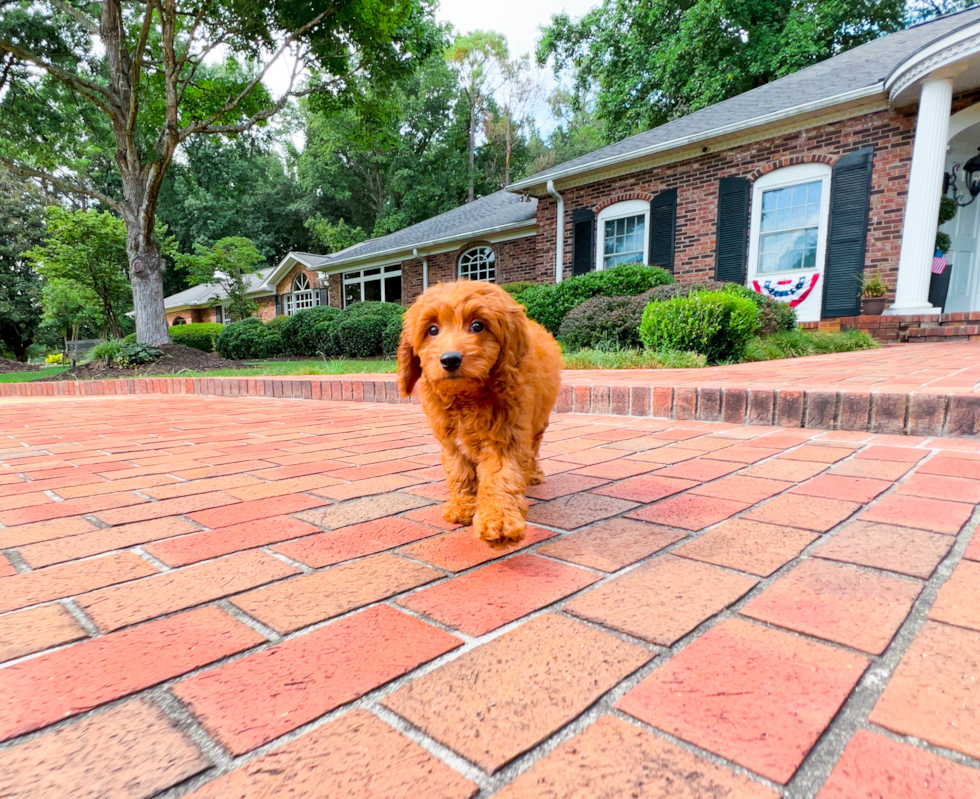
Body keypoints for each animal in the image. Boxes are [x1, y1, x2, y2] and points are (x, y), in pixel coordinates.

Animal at [396, 282, 560, 544]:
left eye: (477, 326)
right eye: (432, 330)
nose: (450, 360)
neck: (465, 397)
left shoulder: (507, 435)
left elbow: (501, 477)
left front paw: (499, 520)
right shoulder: (450, 440)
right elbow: (459, 472)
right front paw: (463, 506)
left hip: (538, 421)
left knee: (533, 449)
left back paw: (533, 474)